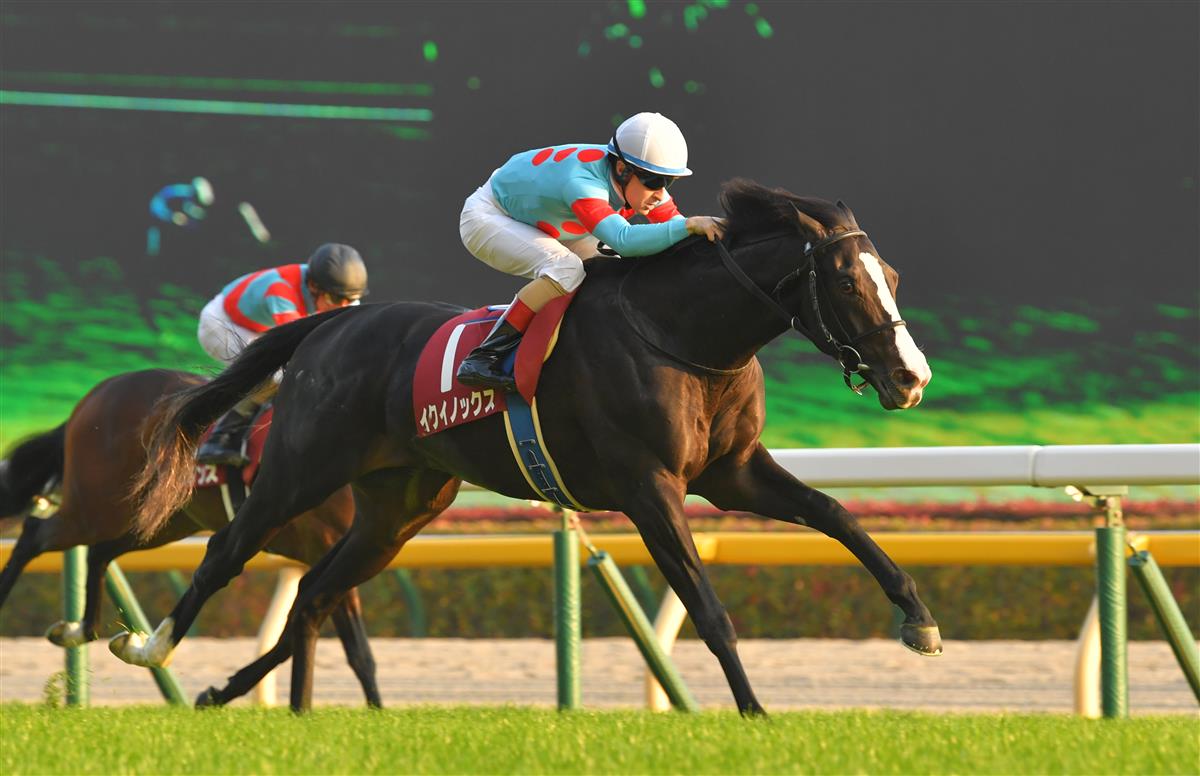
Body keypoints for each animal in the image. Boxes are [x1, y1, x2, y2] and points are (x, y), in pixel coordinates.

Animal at [0, 368, 381, 708]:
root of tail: (97, 393)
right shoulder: (329, 543)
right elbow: (354, 648)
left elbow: (297, 636)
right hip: (95, 509)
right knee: (34, 534)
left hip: (159, 520)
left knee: (98, 552)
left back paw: (81, 629)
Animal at [113, 180, 939, 714]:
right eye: (845, 281)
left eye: (894, 276)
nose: (911, 377)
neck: (678, 334)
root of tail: (333, 323)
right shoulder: (649, 486)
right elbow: (707, 607)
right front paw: (753, 714)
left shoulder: (731, 472)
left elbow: (836, 515)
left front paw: (918, 619)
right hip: (300, 469)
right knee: (227, 555)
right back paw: (152, 649)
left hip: (398, 507)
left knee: (316, 593)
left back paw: (234, 693)